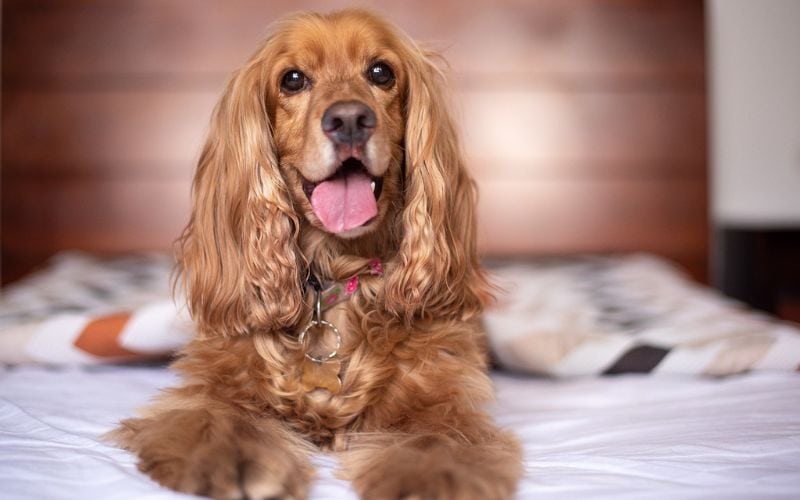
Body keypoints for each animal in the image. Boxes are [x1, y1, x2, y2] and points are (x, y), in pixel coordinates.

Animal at [111, 8, 524, 500]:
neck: (337, 272)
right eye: (292, 79)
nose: (349, 119)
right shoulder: (219, 382)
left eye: (381, 72)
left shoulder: (442, 394)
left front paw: (427, 478)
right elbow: (221, 418)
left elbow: (437, 439)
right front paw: (233, 460)